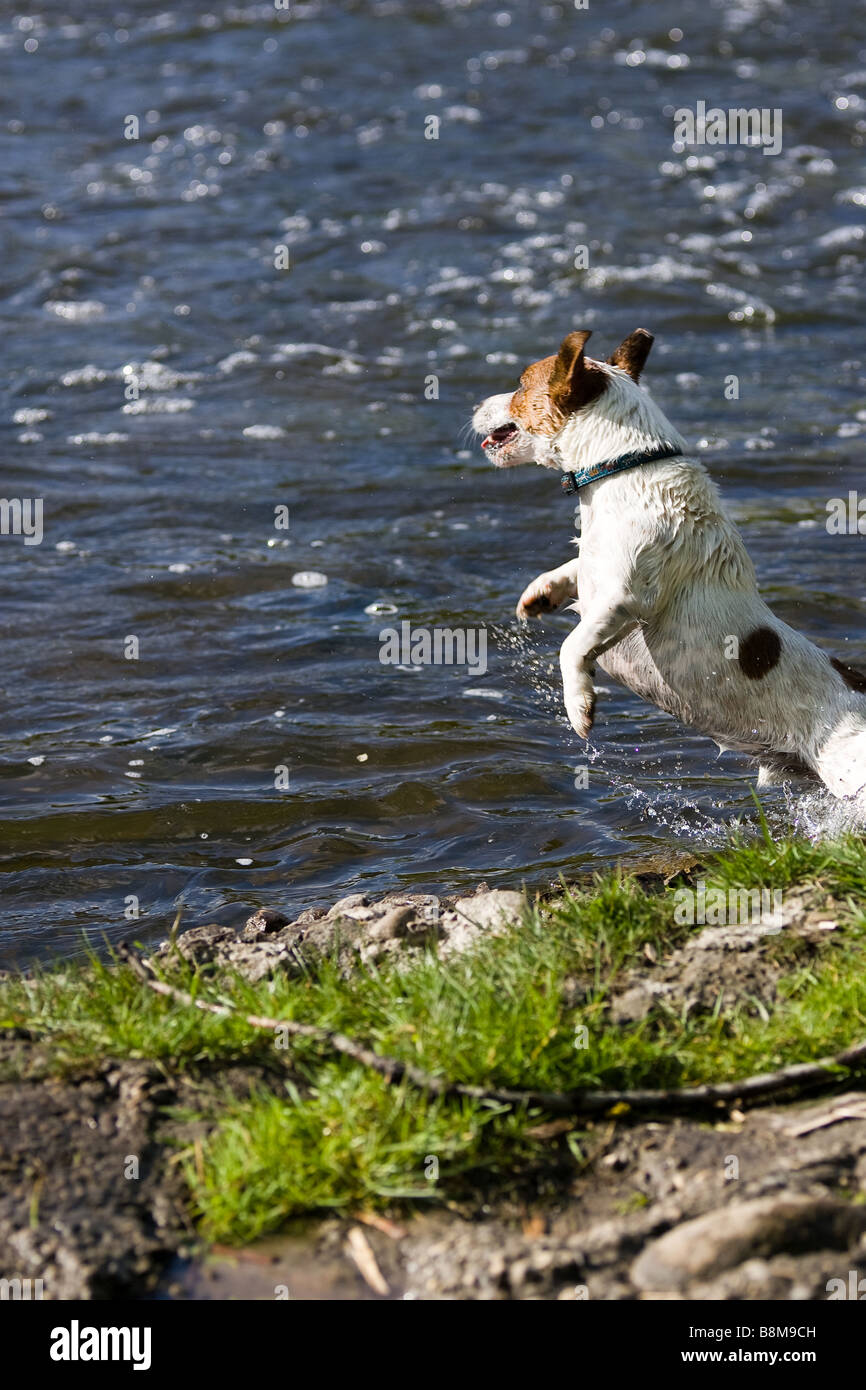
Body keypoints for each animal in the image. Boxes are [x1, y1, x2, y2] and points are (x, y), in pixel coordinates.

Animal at [475, 326, 866, 800]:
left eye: (519, 385)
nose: (474, 406)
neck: (622, 466)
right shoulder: (596, 571)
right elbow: (574, 565)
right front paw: (540, 593)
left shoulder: (625, 599)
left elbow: (572, 646)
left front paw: (579, 705)